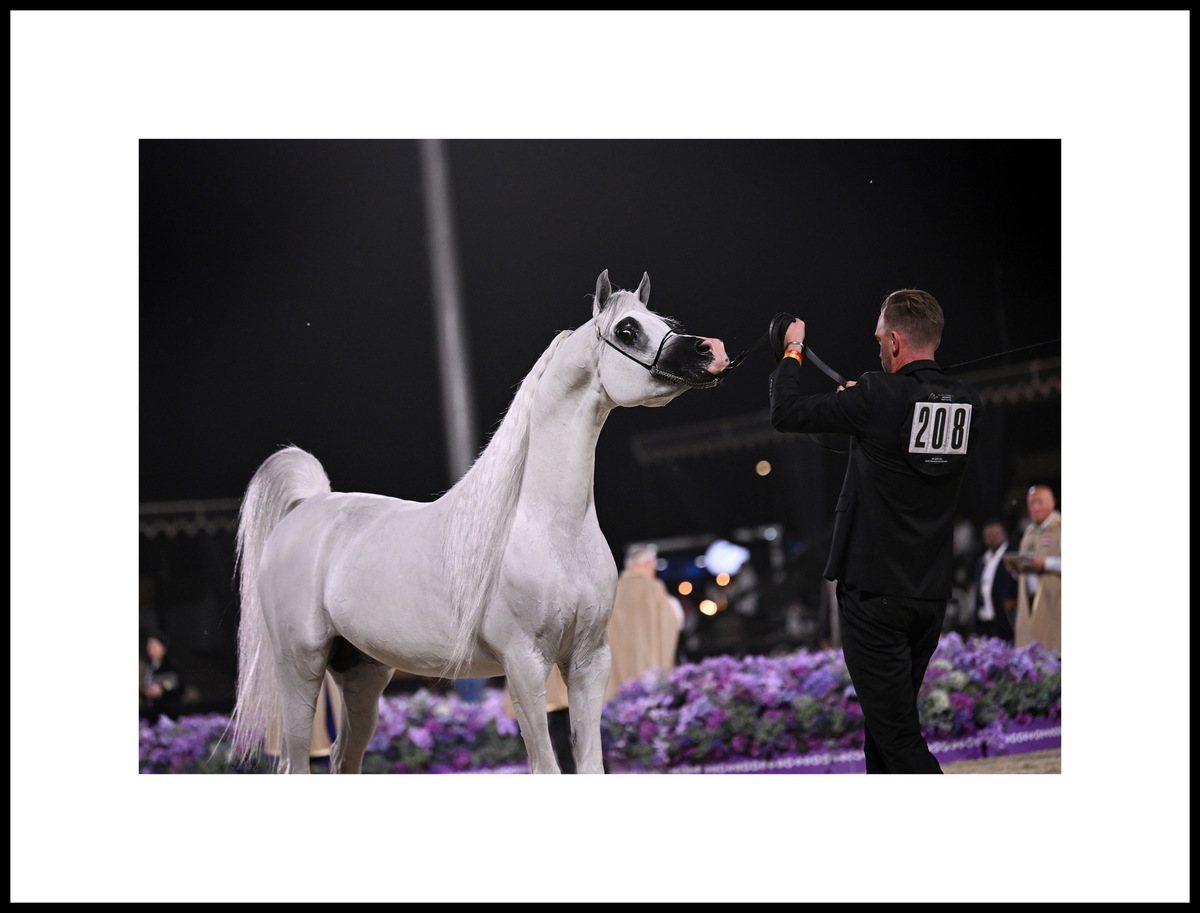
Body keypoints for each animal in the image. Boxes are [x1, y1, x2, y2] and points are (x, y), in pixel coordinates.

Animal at [229, 269, 731, 773]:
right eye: (628, 329)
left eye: (663, 321)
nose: (713, 351)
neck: (551, 529)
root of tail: (308, 506)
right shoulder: (524, 663)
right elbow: (546, 767)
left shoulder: (590, 662)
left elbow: (590, 766)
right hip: (300, 667)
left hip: (362, 672)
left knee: (343, 757)